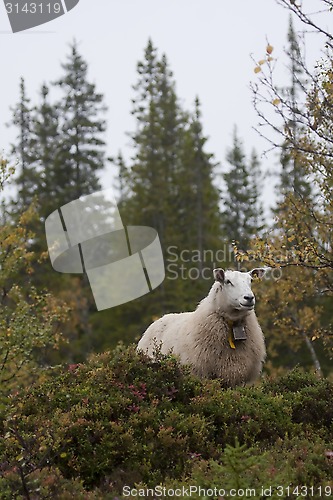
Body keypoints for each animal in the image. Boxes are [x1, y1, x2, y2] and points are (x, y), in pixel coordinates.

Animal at [137, 268, 268, 388]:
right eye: (228, 281)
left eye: (251, 280)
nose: (249, 298)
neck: (232, 323)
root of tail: (159, 319)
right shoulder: (199, 373)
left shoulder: (237, 378)